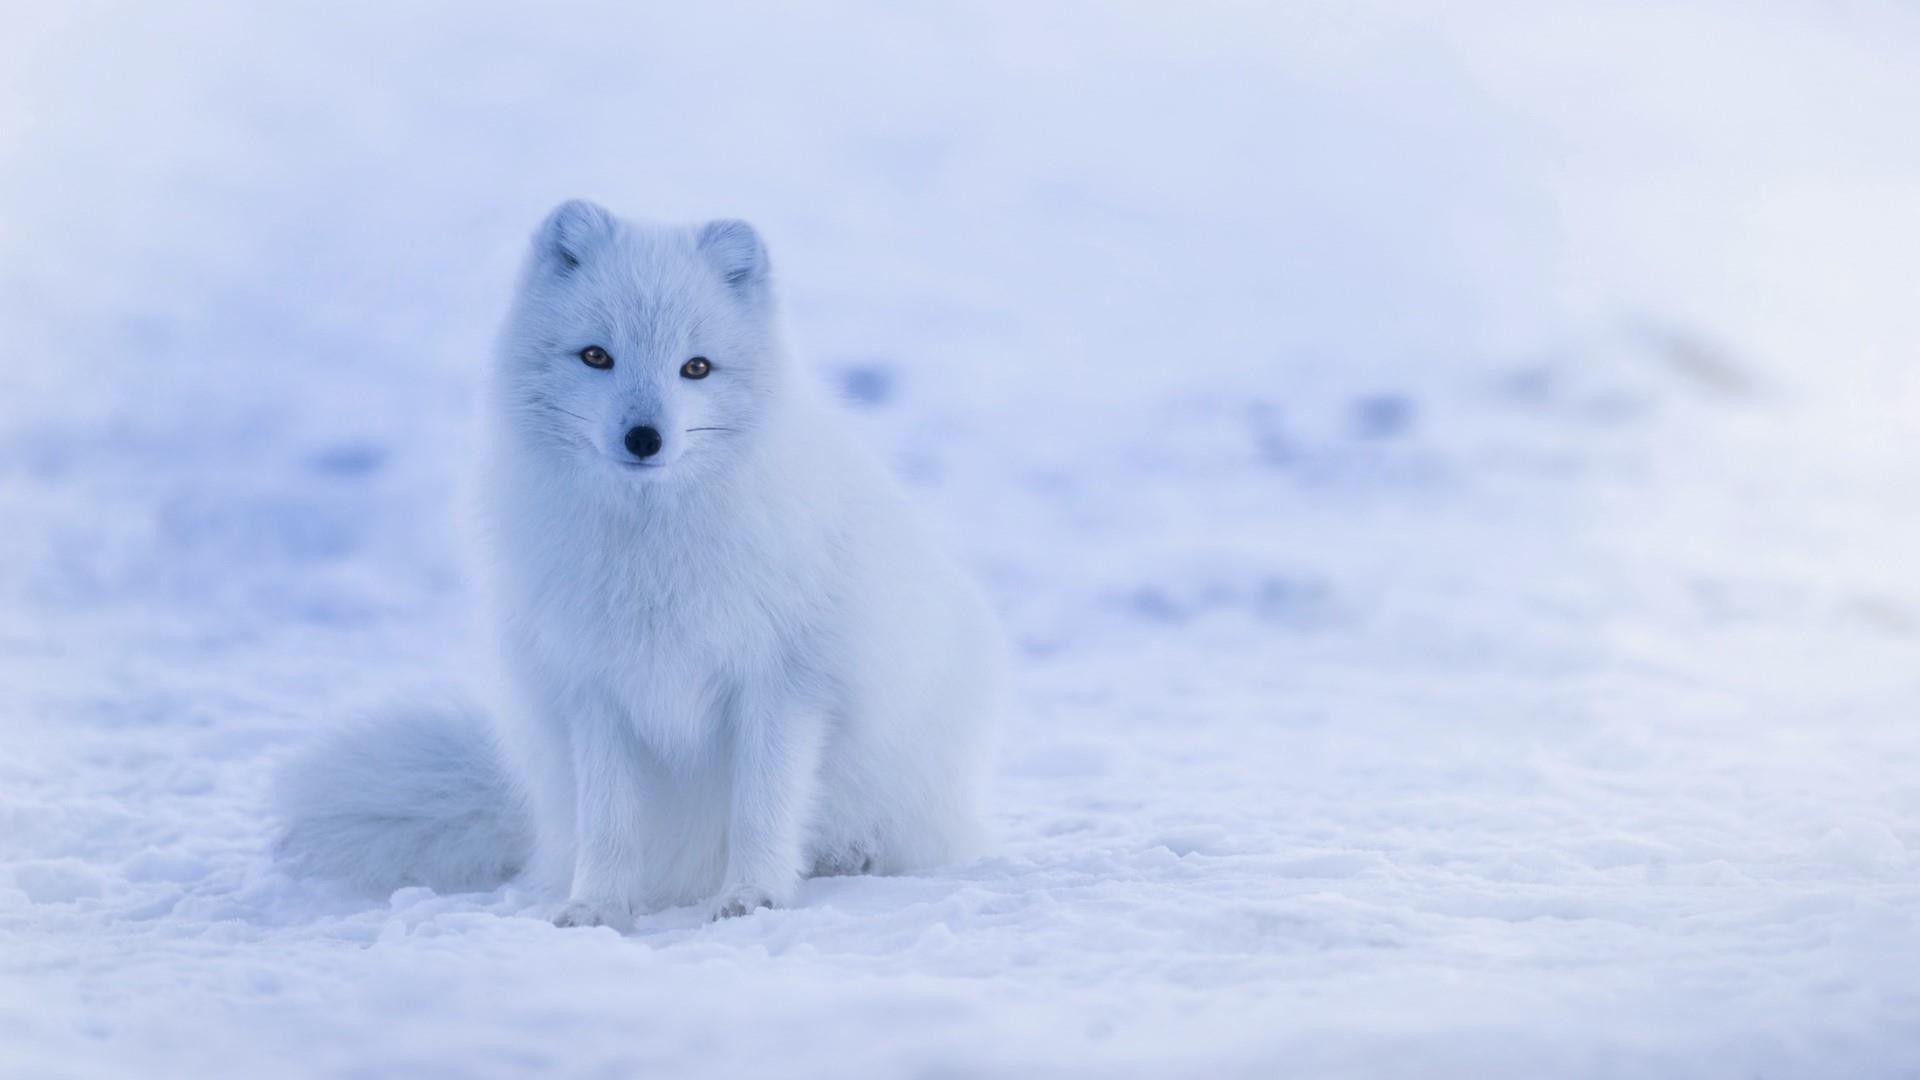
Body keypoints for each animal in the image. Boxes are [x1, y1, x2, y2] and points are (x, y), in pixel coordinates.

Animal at [275, 200, 1003, 926]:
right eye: (597, 356)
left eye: (697, 368)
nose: (644, 438)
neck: (652, 549)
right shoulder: (595, 688)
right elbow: (609, 822)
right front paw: (595, 906)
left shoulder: (783, 682)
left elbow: (762, 808)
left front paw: (752, 896)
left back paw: (848, 857)